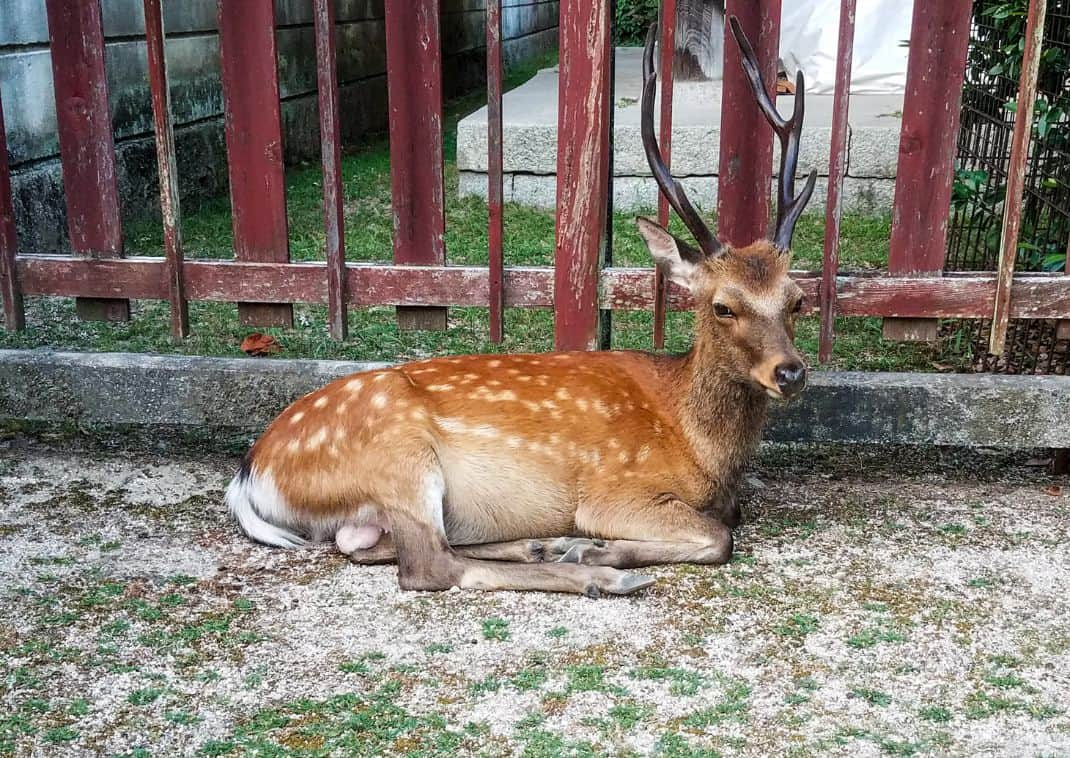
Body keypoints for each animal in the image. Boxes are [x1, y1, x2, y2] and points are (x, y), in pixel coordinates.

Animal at [221, 16, 813, 599]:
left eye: (797, 300)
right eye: (723, 306)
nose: (791, 372)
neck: (698, 445)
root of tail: (249, 474)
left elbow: (726, 522)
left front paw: (583, 546)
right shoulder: (614, 489)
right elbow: (719, 536)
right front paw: (599, 549)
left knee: (370, 546)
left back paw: (544, 545)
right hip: (398, 456)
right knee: (428, 566)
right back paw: (597, 572)